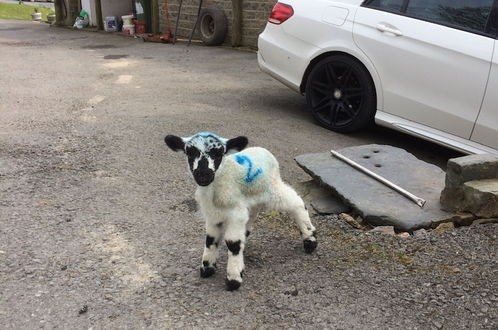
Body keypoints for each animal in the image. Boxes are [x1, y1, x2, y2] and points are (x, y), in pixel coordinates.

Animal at [165, 133, 318, 290]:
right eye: (189, 153)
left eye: (218, 153)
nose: (203, 175)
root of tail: (264, 150)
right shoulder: (214, 214)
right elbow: (210, 239)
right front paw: (207, 268)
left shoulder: (235, 213)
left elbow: (232, 243)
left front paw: (234, 279)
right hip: (252, 199)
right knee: (252, 217)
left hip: (272, 188)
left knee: (296, 203)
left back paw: (310, 240)